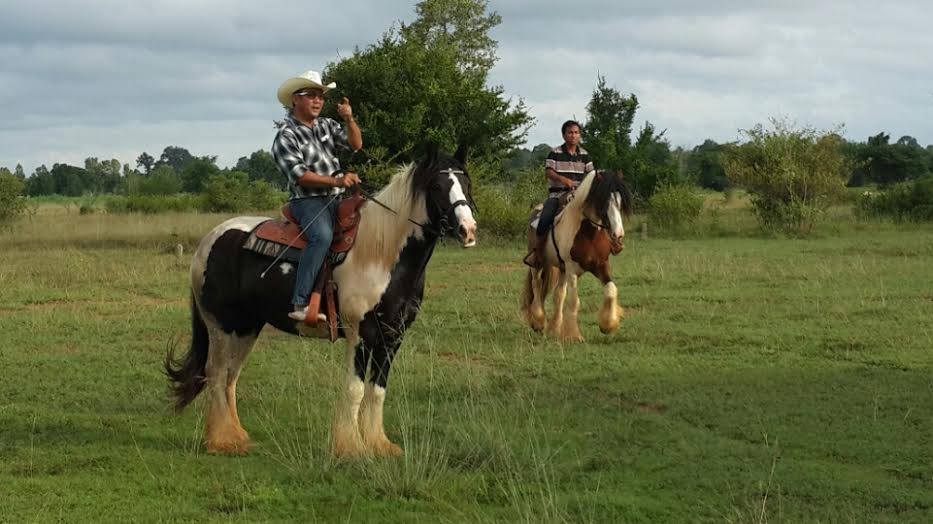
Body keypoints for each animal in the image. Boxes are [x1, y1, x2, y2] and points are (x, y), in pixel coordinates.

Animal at [165, 144, 477, 457]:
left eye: (467, 182)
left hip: (247, 327)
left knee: (231, 375)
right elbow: (355, 389)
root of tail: (209, 241)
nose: (468, 230)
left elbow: (377, 390)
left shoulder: (393, 336)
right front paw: (351, 447)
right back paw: (222, 441)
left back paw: (237, 436)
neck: (381, 255)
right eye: (437, 186)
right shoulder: (360, 333)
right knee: (216, 373)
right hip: (220, 325)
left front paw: (379, 444)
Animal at [520, 170, 633, 342]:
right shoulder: (572, 269)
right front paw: (573, 335)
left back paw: (554, 328)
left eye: (620, 202)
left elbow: (611, 290)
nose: (618, 235)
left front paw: (608, 325)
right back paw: (538, 321)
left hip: (562, 269)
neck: (588, 233)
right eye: (603, 202)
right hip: (538, 264)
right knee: (537, 285)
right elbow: (574, 301)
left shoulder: (601, 265)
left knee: (558, 294)